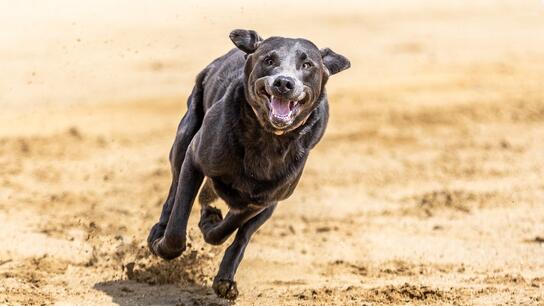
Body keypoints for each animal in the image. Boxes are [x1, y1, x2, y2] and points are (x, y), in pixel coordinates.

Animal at [147, 29, 350, 298]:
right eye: (269, 60)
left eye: (307, 65)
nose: (284, 83)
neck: (267, 138)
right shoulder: (194, 159)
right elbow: (177, 225)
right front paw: (164, 247)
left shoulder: (264, 201)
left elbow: (230, 229)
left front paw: (211, 225)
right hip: (184, 136)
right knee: (173, 192)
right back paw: (159, 231)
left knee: (241, 235)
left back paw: (225, 278)